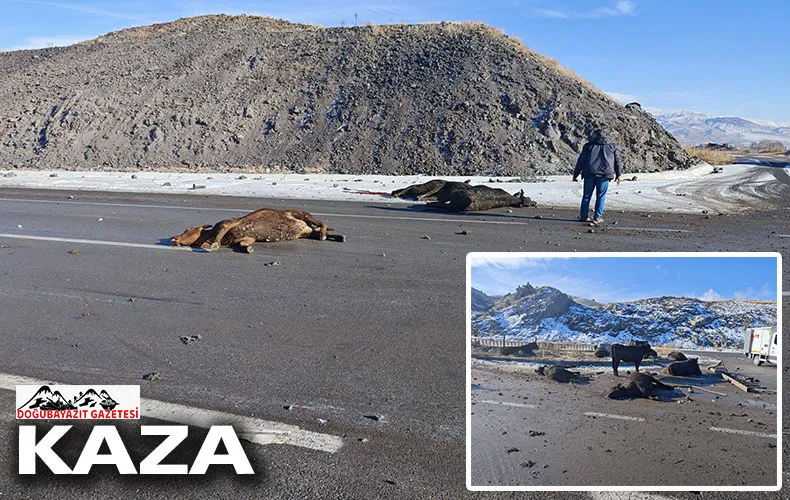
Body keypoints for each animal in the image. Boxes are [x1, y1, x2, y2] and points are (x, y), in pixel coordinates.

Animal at [170, 208, 344, 254]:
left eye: (187, 229)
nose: (174, 238)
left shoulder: (226, 223)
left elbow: (218, 236)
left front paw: (212, 245)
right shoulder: (245, 237)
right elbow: (243, 244)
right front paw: (248, 249)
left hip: (302, 214)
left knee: (322, 223)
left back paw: (324, 235)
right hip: (305, 232)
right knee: (317, 231)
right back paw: (338, 236)